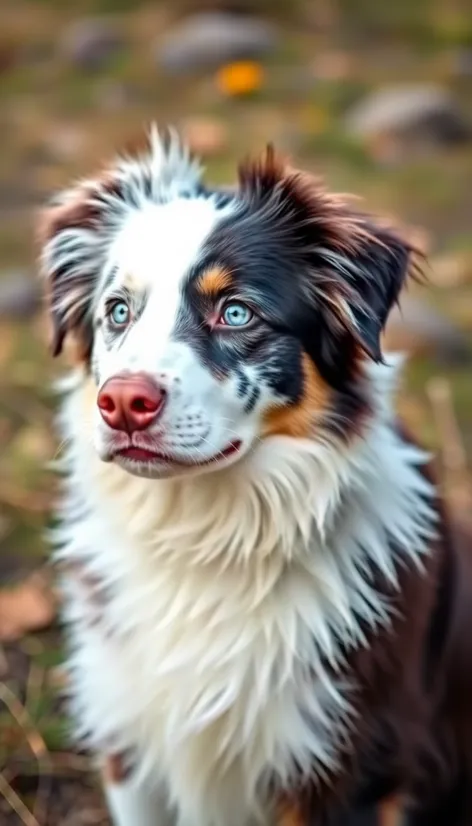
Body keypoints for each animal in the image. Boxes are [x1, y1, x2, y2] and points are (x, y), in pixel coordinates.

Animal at [37, 129, 472, 824]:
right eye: (118, 311)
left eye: (237, 313)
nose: (122, 403)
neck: (205, 539)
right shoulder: (129, 746)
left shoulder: (345, 761)